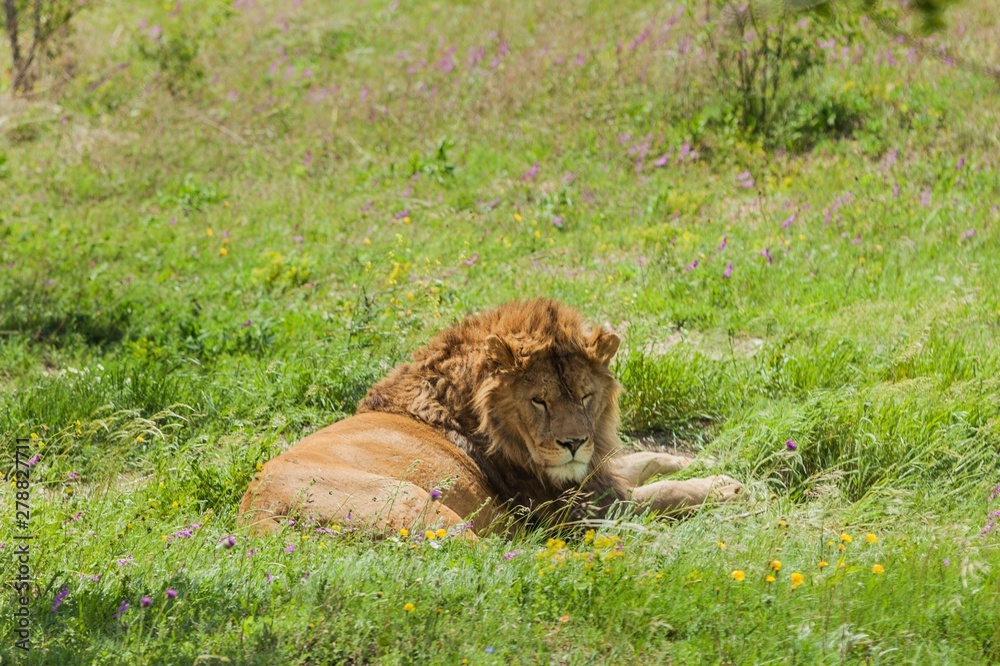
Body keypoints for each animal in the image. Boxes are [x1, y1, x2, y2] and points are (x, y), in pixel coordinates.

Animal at [239, 299, 742, 535]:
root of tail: (253, 521)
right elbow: (663, 494)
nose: (573, 443)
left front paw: (702, 462)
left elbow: (640, 460)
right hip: (415, 503)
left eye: (585, 396)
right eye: (539, 401)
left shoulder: (593, 469)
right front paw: (726, 487)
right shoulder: (576, 505)